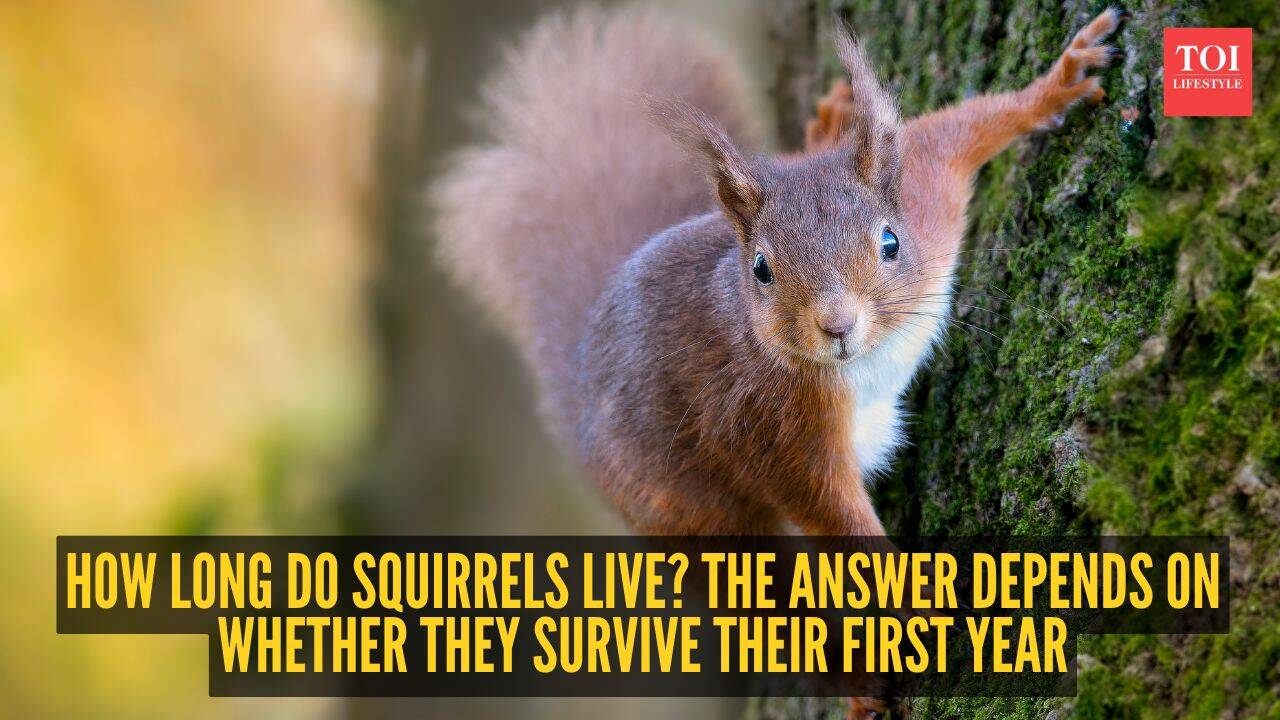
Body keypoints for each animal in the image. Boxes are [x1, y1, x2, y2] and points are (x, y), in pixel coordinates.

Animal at [434, 6, 1125, 538]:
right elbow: (834, 516)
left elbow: (963, 126)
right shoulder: (769, 425)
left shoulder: (929, 192)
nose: (838, 326)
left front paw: (1061, 82)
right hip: (692, 511)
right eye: (761, 270)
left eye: (891, 242)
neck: (866, 361)